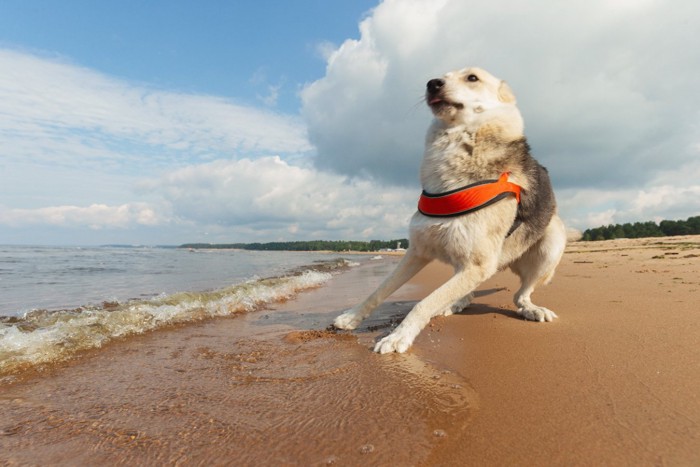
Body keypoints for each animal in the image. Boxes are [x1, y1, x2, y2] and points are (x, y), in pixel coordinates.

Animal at [334, 66, 568, 354]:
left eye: (472, 78)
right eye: (439, 77)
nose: (432, 84)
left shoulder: (478, 264)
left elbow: (422, 302)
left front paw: (398, 336)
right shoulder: (417, 250)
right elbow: (380, 289)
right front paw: (352, 317)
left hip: (551, 244)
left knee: (520, 294)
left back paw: (531, 309)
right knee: (466, 292)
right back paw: (455, 303)